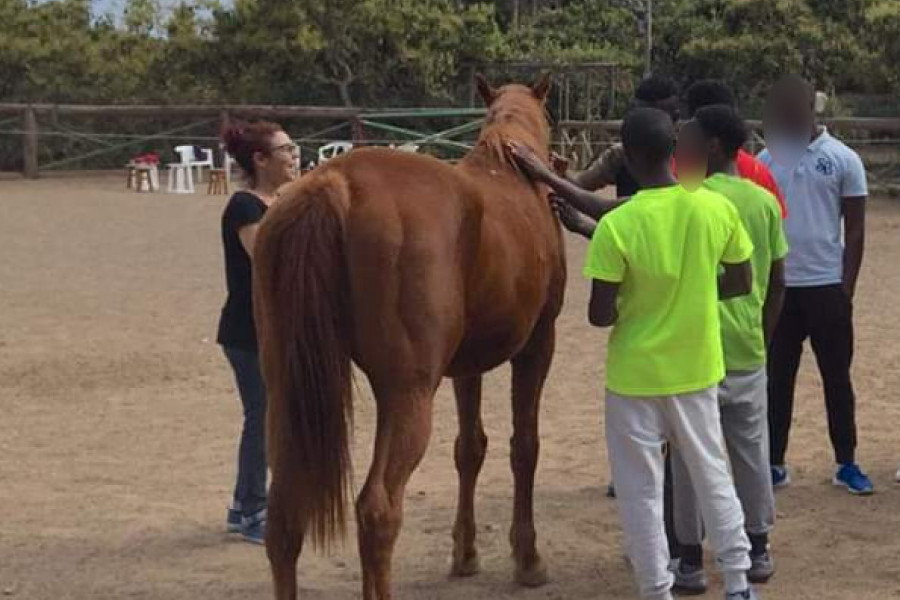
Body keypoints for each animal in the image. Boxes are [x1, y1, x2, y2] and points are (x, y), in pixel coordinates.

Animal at [250, 75, 568, 600]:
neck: (511, 172)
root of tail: (336, 183)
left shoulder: (467, 367)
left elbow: (470, 448)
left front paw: (465, 553)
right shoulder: (537, 346)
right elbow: (524, 446)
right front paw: (528, 558)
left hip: (285, 395)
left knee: (284, 516)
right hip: (407, 393)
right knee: (377, 510)